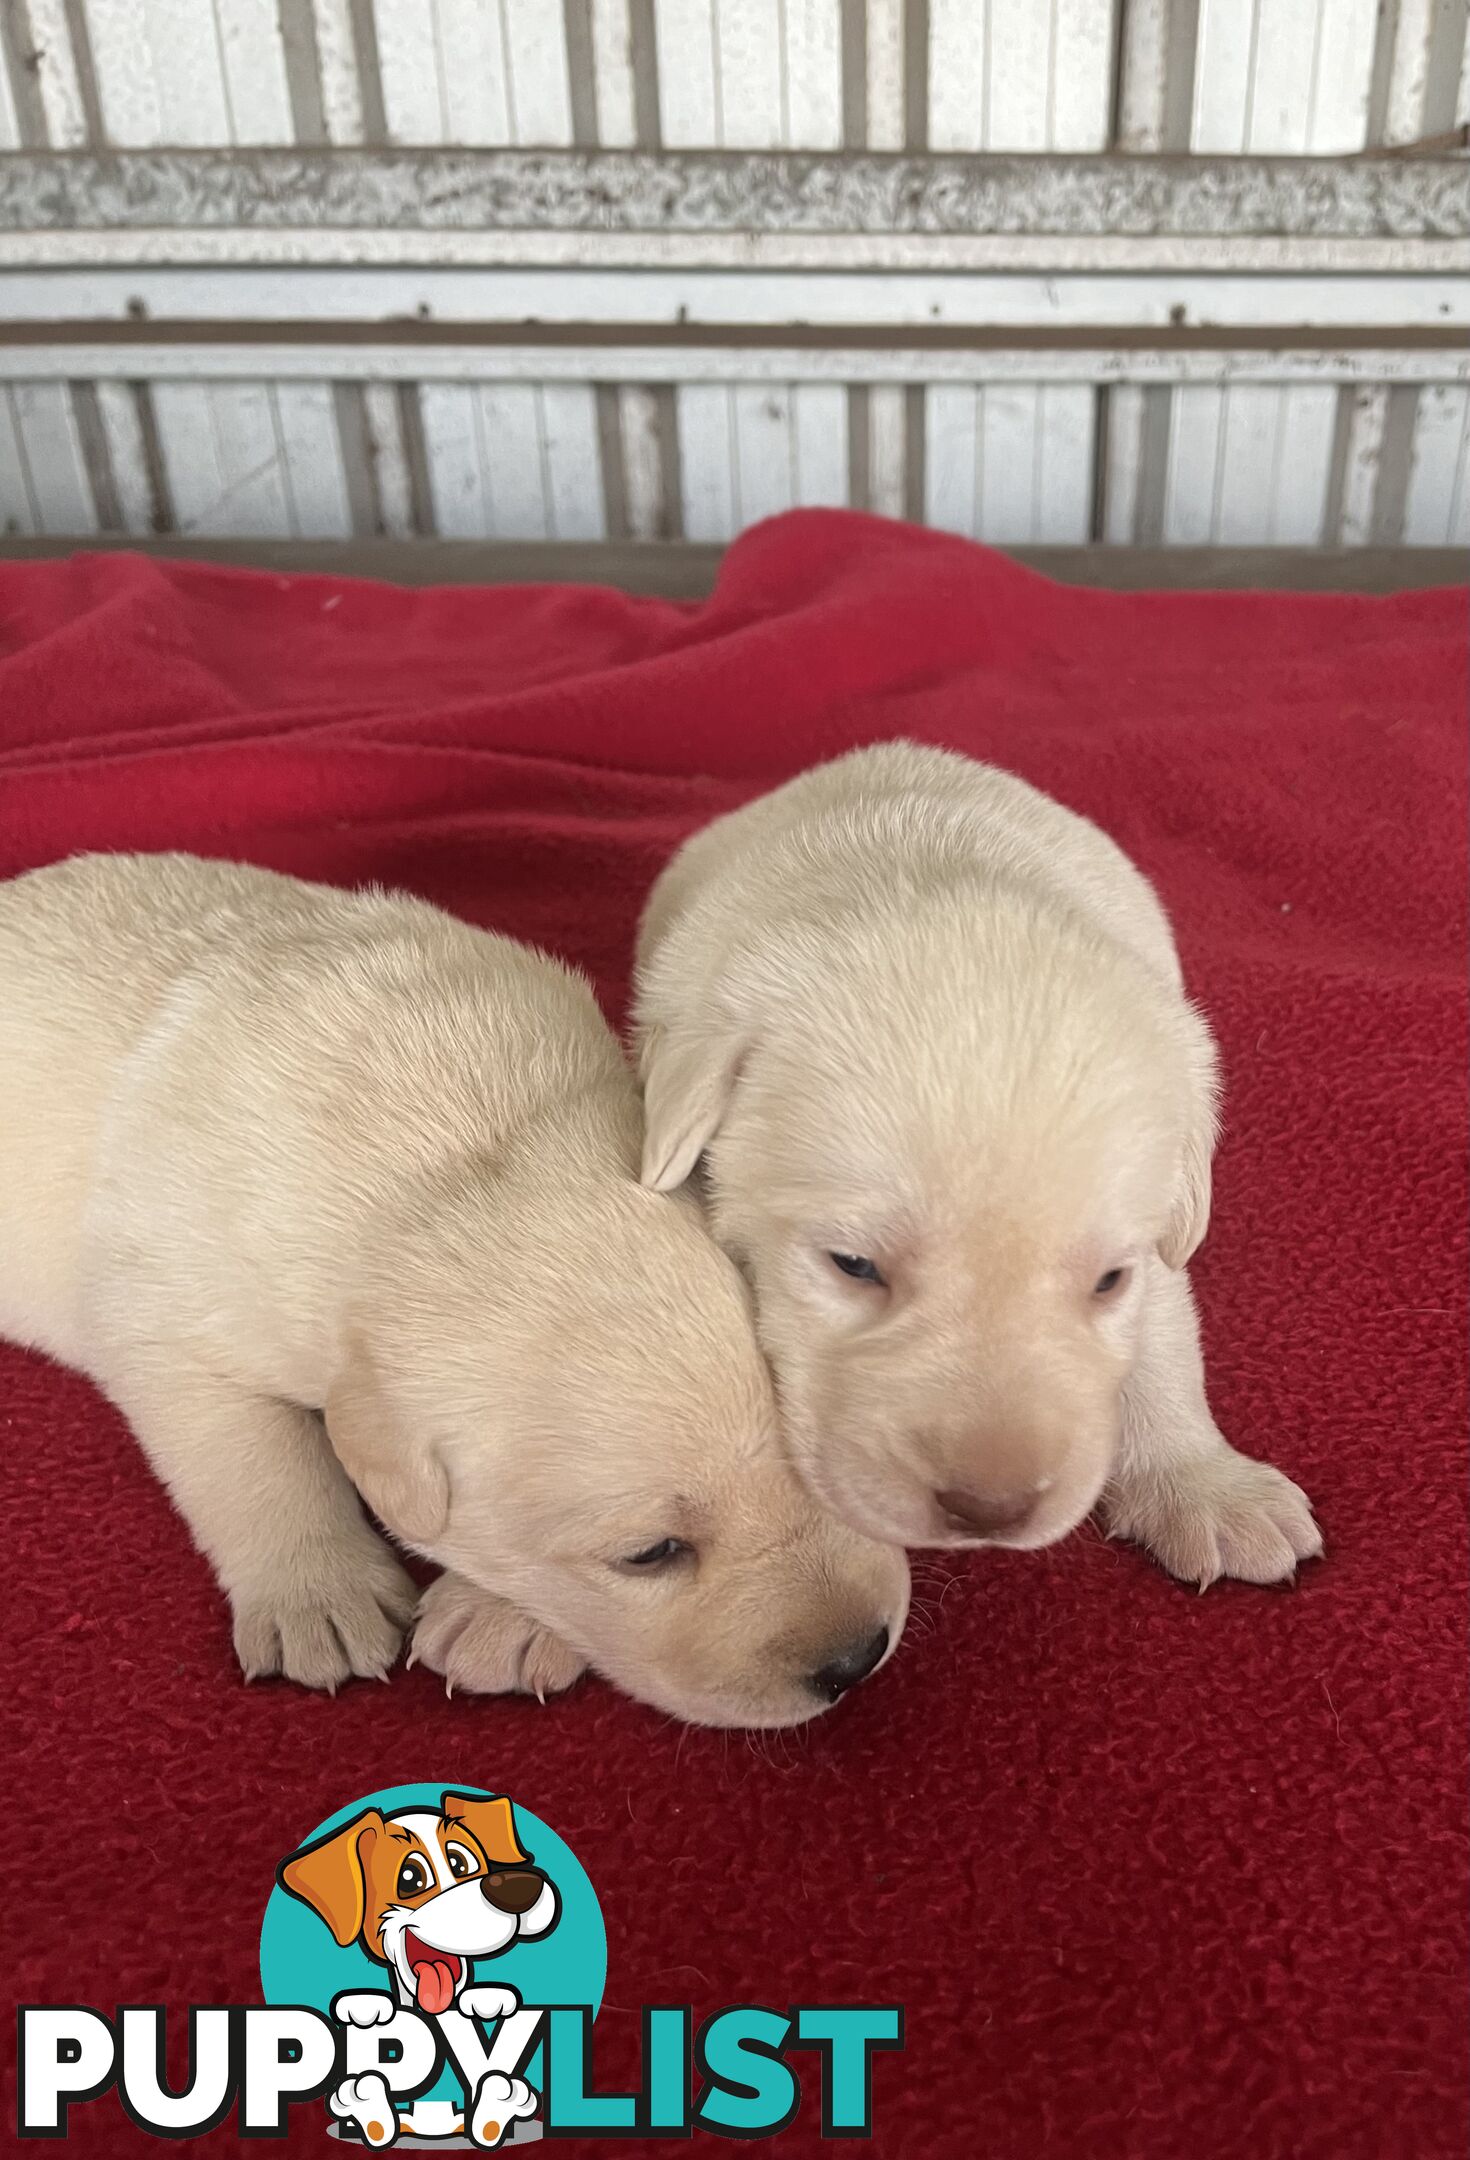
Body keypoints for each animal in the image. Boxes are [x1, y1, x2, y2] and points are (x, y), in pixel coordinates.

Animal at [0, 855, 906, 1719]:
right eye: (648, 1554)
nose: (857, 1660)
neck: (463, 1165)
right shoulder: (164, 1308)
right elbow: (252, 1455)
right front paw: (319, 1598)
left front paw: (501, 1621)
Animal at [634, 743, 1321, 1589]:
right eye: (852, 1265)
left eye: (1108, 1281)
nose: (990, 1509)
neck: (931, 883)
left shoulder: (1160, 1231)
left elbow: (1164, 1341)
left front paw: (1208, 1487)